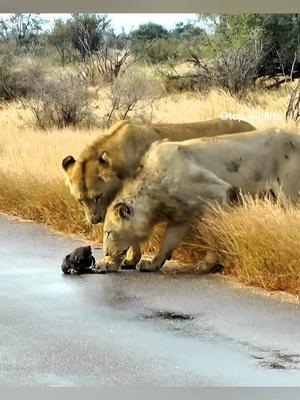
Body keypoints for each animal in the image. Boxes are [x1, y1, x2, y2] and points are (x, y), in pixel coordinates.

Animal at [99, 130, 300, 274]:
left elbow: (213, 234)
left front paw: (206, 265)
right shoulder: (181, 216)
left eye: (108, 232)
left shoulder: (218, 193)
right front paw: (152, 264)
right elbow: (167, 242)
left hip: (289, 193)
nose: (106, 254)